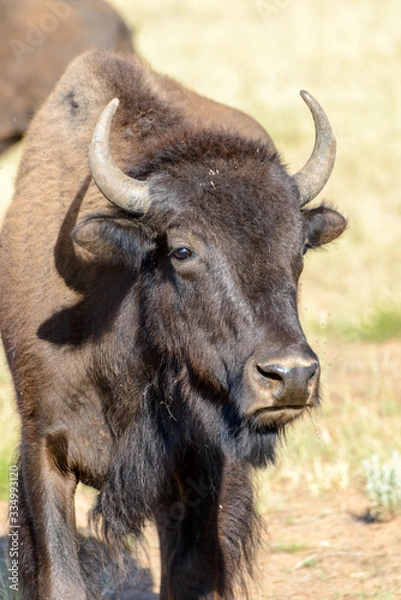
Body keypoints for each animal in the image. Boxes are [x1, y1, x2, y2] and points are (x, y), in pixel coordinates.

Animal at [0, 49, 344, 596]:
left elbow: (190, 574)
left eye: (300, 250)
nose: (290, 376)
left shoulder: (200, 472)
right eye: (182, 250)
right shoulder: (44, 445)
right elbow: (60, 574)